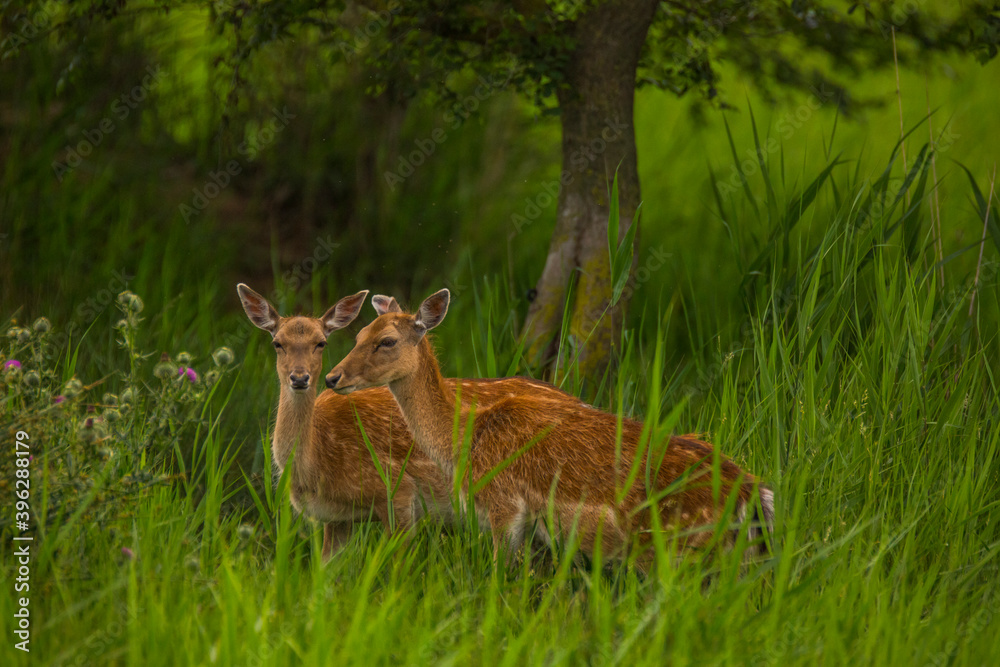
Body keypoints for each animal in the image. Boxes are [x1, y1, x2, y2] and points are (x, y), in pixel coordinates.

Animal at [237, 284, 585, 561]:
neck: (317, 465)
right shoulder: (336, 520)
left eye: (321, 342)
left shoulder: (396, 490)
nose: (301, 378)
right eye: (277, 343)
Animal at [325, 289, 774, 572]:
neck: (467, 441)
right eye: (359, 333)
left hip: (681, 547)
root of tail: (753, 495)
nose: (333, 377)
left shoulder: (504, 507)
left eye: (386, 341)